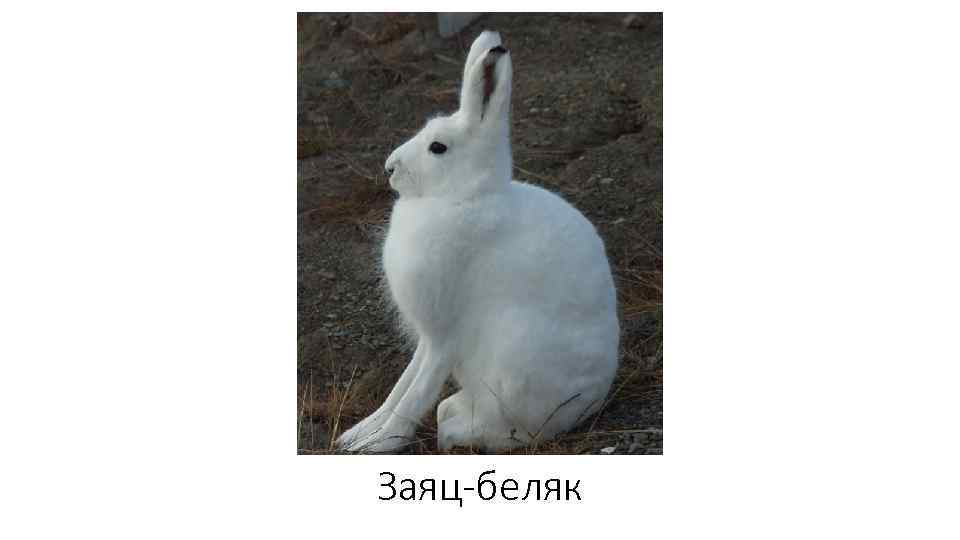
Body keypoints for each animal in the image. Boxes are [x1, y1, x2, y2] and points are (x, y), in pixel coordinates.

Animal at [336, 30, 619, 453]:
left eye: (438, 147)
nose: (389, 168)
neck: (463, 197)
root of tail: (593, 399)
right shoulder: (428, 336)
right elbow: (401, 386)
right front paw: (356, 433)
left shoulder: (445, 333)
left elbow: (416, 393)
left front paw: (379, 443)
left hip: (515, 362)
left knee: (511, 431)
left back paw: (457, 431)